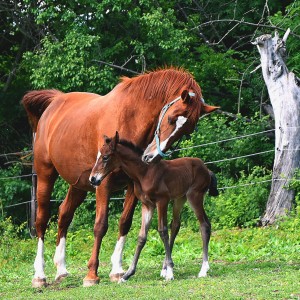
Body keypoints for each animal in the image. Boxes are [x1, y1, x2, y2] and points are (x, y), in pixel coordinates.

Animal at [89, 131, 218, 282]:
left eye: (105, 157)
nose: (93, 179)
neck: (144, 173)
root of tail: (206, 169)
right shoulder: (147, 205)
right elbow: (142, 237)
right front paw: (128, 274)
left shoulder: (162, 201)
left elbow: (162, 231)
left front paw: (170, 272)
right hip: (180, 199)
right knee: (176, 225)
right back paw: (165, 268)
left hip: (195, 197)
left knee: (204, 225)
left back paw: (203, 269)